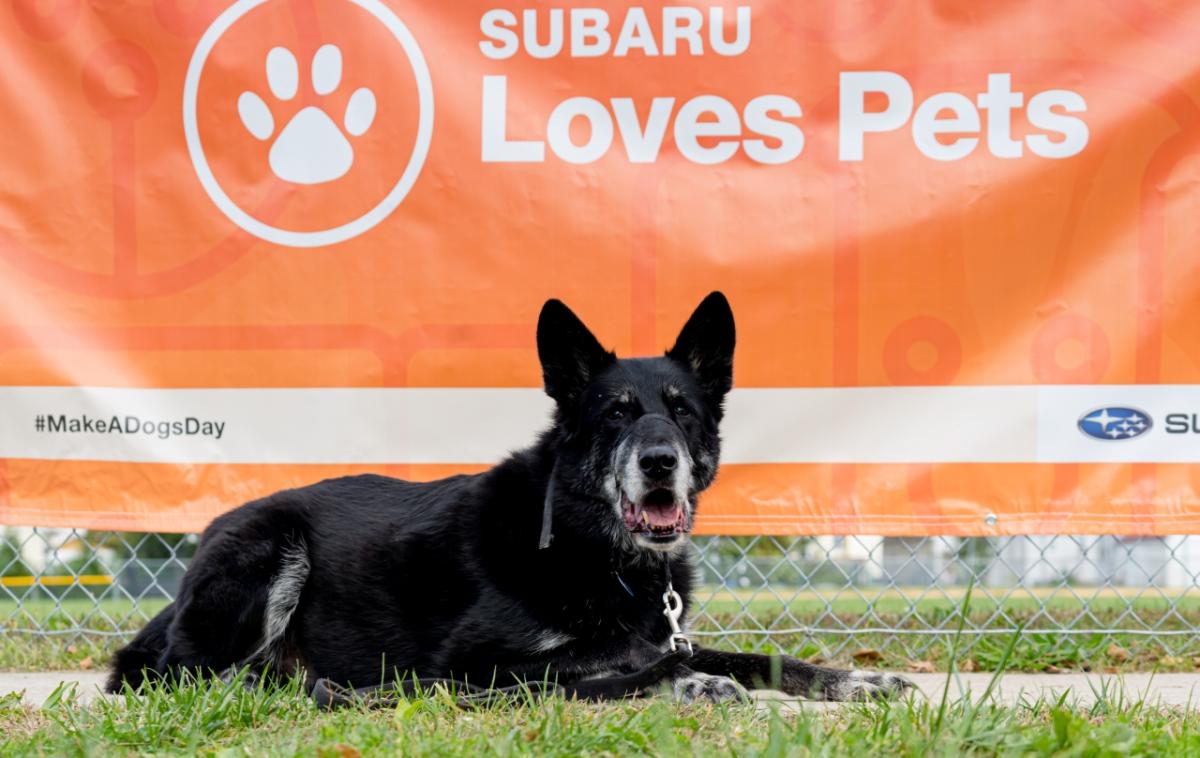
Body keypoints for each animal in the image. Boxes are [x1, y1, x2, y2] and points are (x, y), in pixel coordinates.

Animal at [110, 292, 907, 700]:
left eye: (682, 411)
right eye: (615, 412)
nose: (660, 463)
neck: (596, 551)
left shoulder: (665, 627)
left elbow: (757, 655)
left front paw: (852, 679)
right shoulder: (477, 662)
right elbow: (624, 658)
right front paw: (686, 681)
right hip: (270, 547)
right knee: (182, 677)